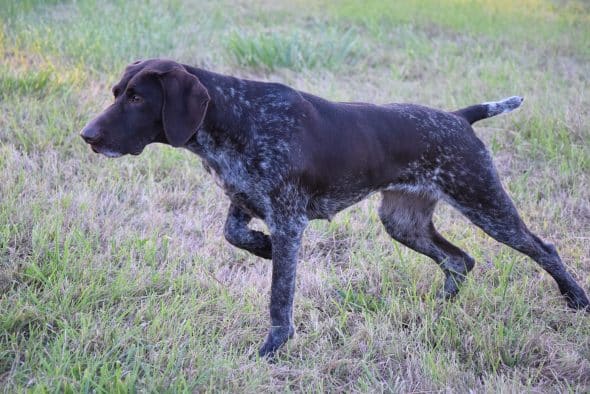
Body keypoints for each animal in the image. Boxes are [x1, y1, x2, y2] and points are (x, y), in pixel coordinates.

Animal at [80, 58, 590, 358]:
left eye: (137, 97)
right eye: (116, 92)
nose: (87, 136)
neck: (235, 117)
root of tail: (458, 118)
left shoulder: (288, 219)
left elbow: (279, 297)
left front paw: (272, 348)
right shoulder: (244, 202)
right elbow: (236, 236)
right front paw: (262, 249)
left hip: (484, 203)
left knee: (542, 248)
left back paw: (576, 300)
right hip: (402, 222)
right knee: (460, 260)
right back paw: (436, 311)